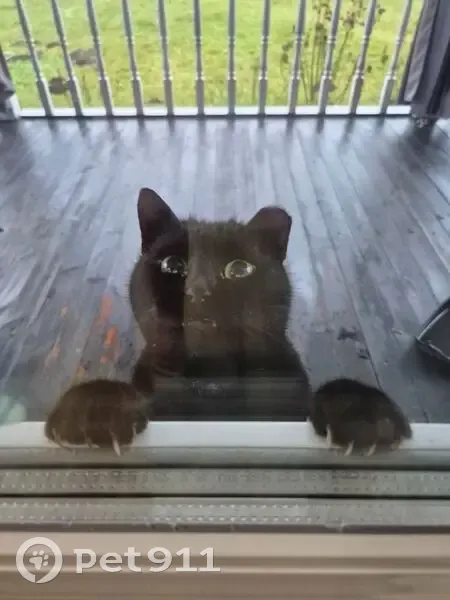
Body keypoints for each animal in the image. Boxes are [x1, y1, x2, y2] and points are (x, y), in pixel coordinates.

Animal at [45, 187, 412, 455]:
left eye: (239, 269)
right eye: (173, 265)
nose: (197, 290)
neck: (214, 382)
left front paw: (362, 413)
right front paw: (95, 408)